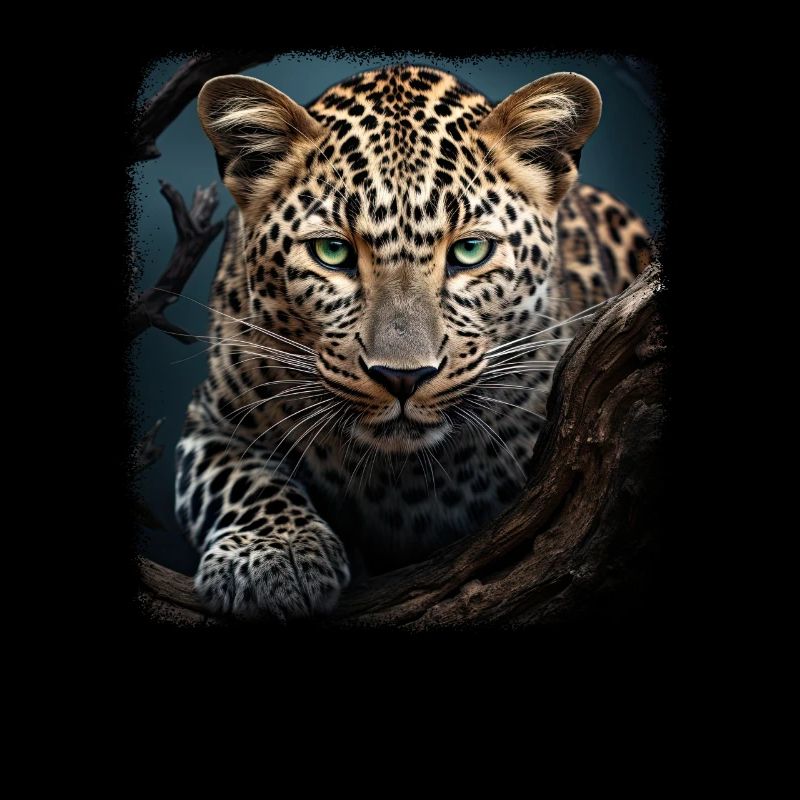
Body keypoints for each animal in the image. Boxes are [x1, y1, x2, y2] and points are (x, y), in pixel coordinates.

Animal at [174, 65, 652, 620]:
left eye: (470, 250)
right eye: (332, 251)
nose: (402, 378)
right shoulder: (213, 421)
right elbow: (243, 481)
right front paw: (272, 557)